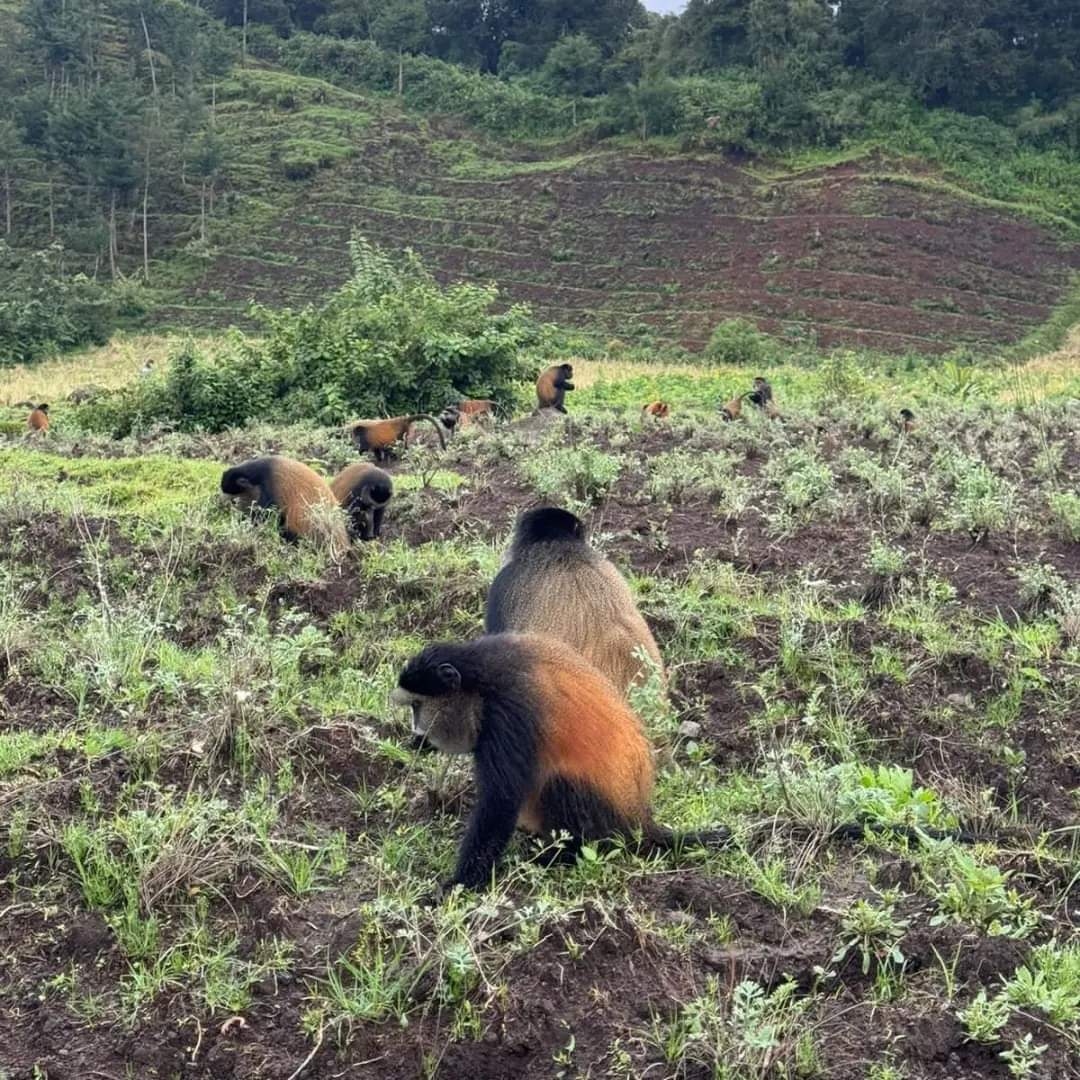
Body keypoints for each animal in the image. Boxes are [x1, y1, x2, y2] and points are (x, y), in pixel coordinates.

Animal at [391, 632, 730, 891]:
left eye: (418, 706)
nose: (417, 731)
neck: (483, 675)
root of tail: (640, 818)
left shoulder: (510, 711)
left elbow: (499, 801)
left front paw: (460, 884)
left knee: (560, 783)